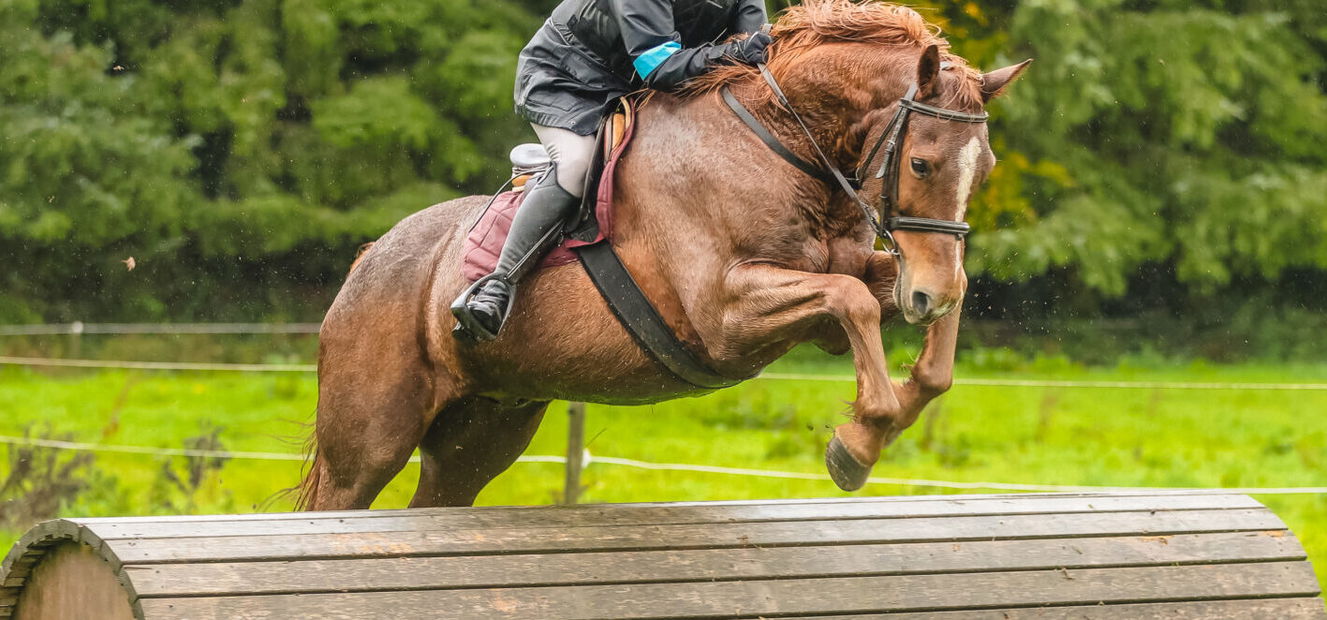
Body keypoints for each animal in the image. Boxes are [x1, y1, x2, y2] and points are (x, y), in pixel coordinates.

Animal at [297, 0, 1030, 510]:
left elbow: (923, 333)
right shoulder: (724, 319)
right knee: (341, 500)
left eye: (986, 170)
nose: (927, 292)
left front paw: (876, 427)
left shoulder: (845, 286)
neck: (781, 143)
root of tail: (368, 259)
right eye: (921, 162)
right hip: (366, 444)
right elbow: (852, 303)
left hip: (481, 431)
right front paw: (856, 443)